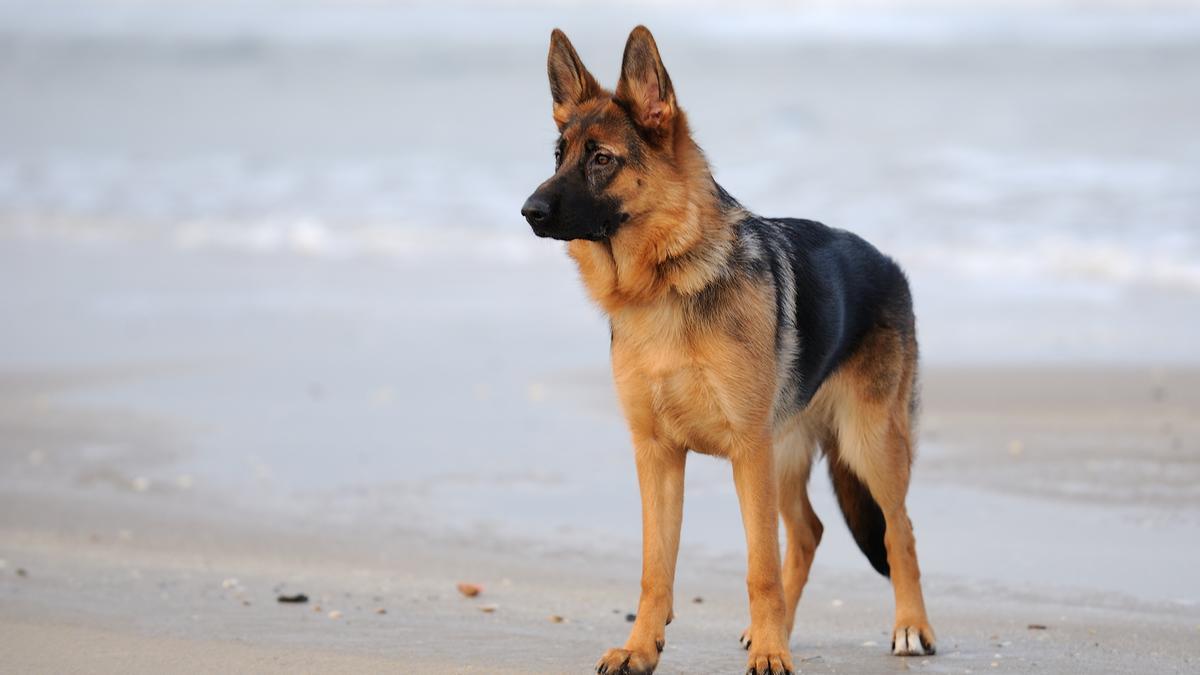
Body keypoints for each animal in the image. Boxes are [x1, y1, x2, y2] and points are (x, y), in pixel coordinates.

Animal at [525, 26, 936, 672]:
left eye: (601, 158)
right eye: (558, 155)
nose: (528, 211)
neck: (665, 284)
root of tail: (889, 262)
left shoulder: (747, 452)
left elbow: (759, 567)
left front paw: (770, 653)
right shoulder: (658, 456)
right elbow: (655, 569)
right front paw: (641, 649)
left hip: (867, 446)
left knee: (900, 532)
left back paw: (910, 627)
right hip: (788, 451)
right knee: (810, 531)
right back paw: (783, 628)